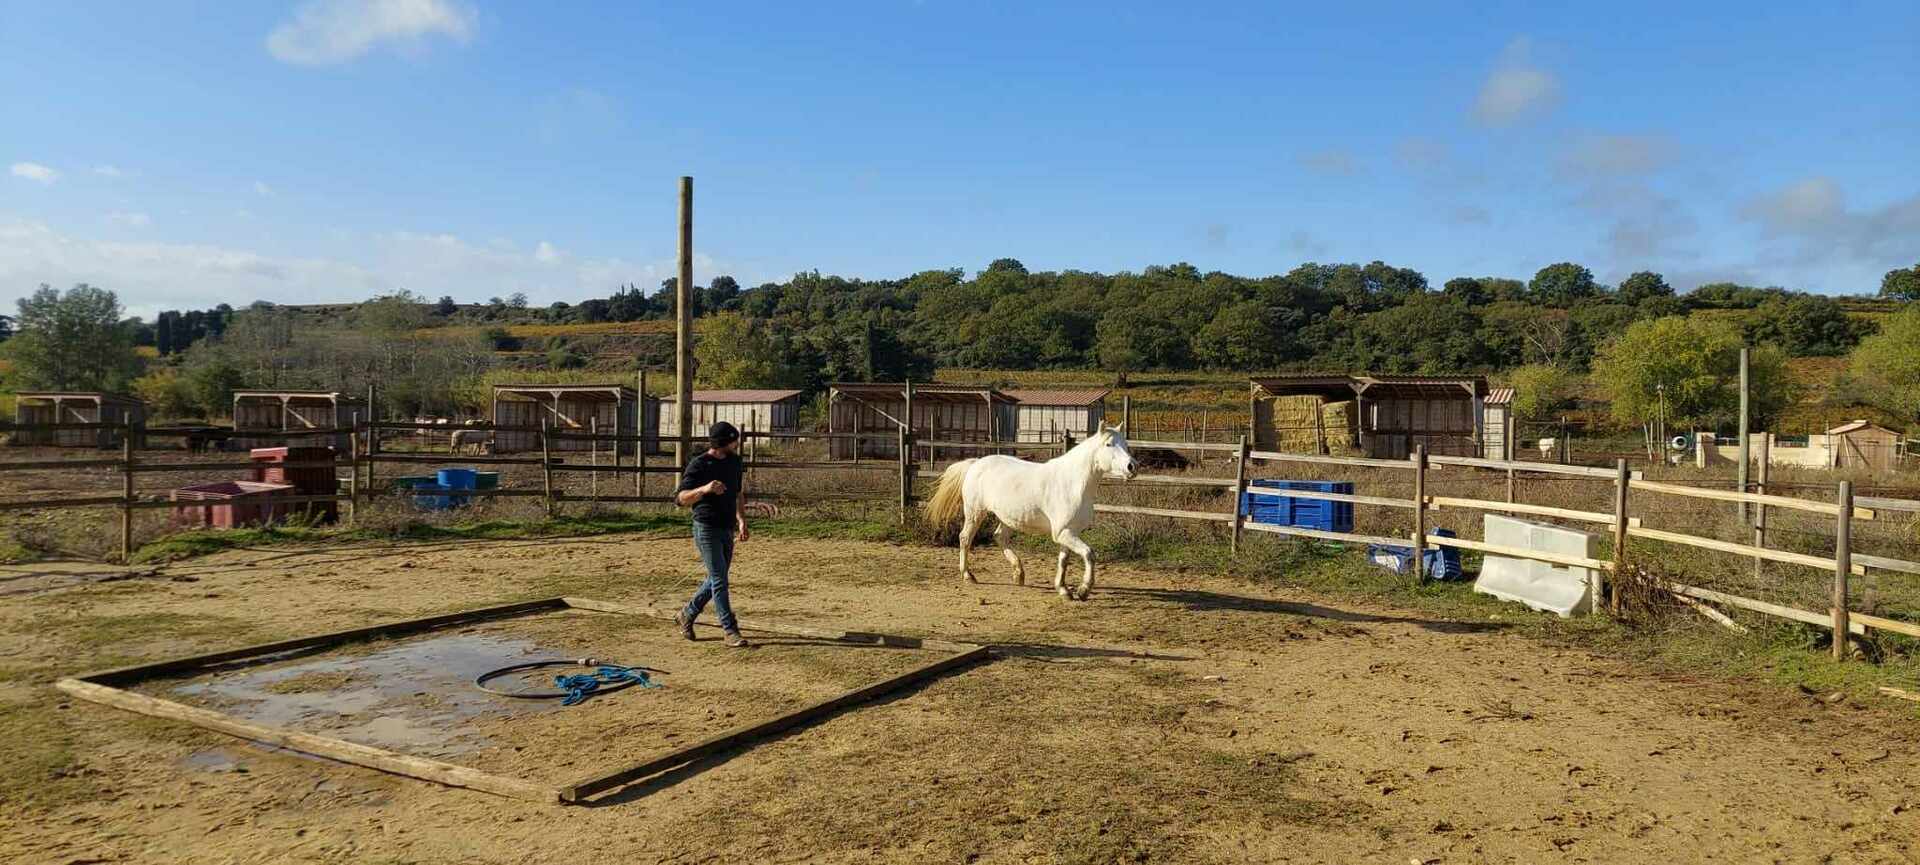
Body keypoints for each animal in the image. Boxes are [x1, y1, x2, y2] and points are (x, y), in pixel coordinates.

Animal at [921, 421, 1128, 598]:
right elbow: (1089, 554)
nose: (1131, 466)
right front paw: (1083, 590)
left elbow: (1064, 560)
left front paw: (1063, 589)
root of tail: (975, 463)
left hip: (1007, 517)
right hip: (975, 512)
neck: (1072, 483)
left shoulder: (1068, 532)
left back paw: (1019, 574)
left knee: (999, 537)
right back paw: (968, 575)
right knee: (965, 538)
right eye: (1109, 444)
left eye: (1125, 444)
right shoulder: (1064, 533)